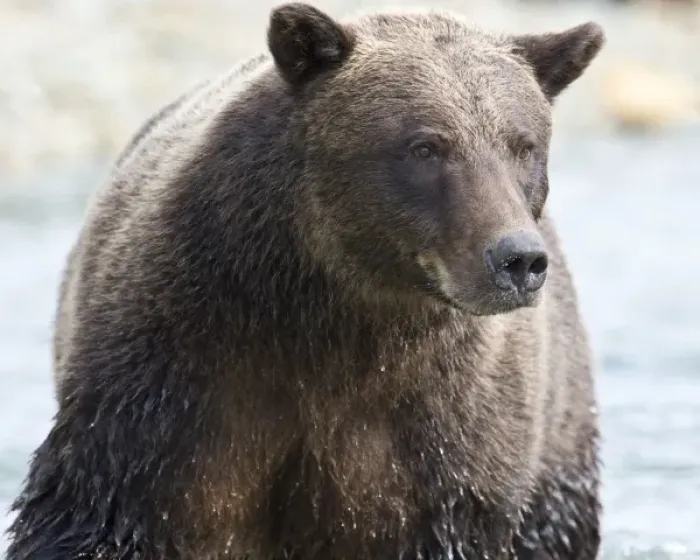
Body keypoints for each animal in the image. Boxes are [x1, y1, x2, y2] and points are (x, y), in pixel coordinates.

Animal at [6, 3, 605, 559]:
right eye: (426, 146)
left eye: (523, 145)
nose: (518, 259)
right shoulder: (176, 380)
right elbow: (99, 511)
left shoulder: (447, 440)